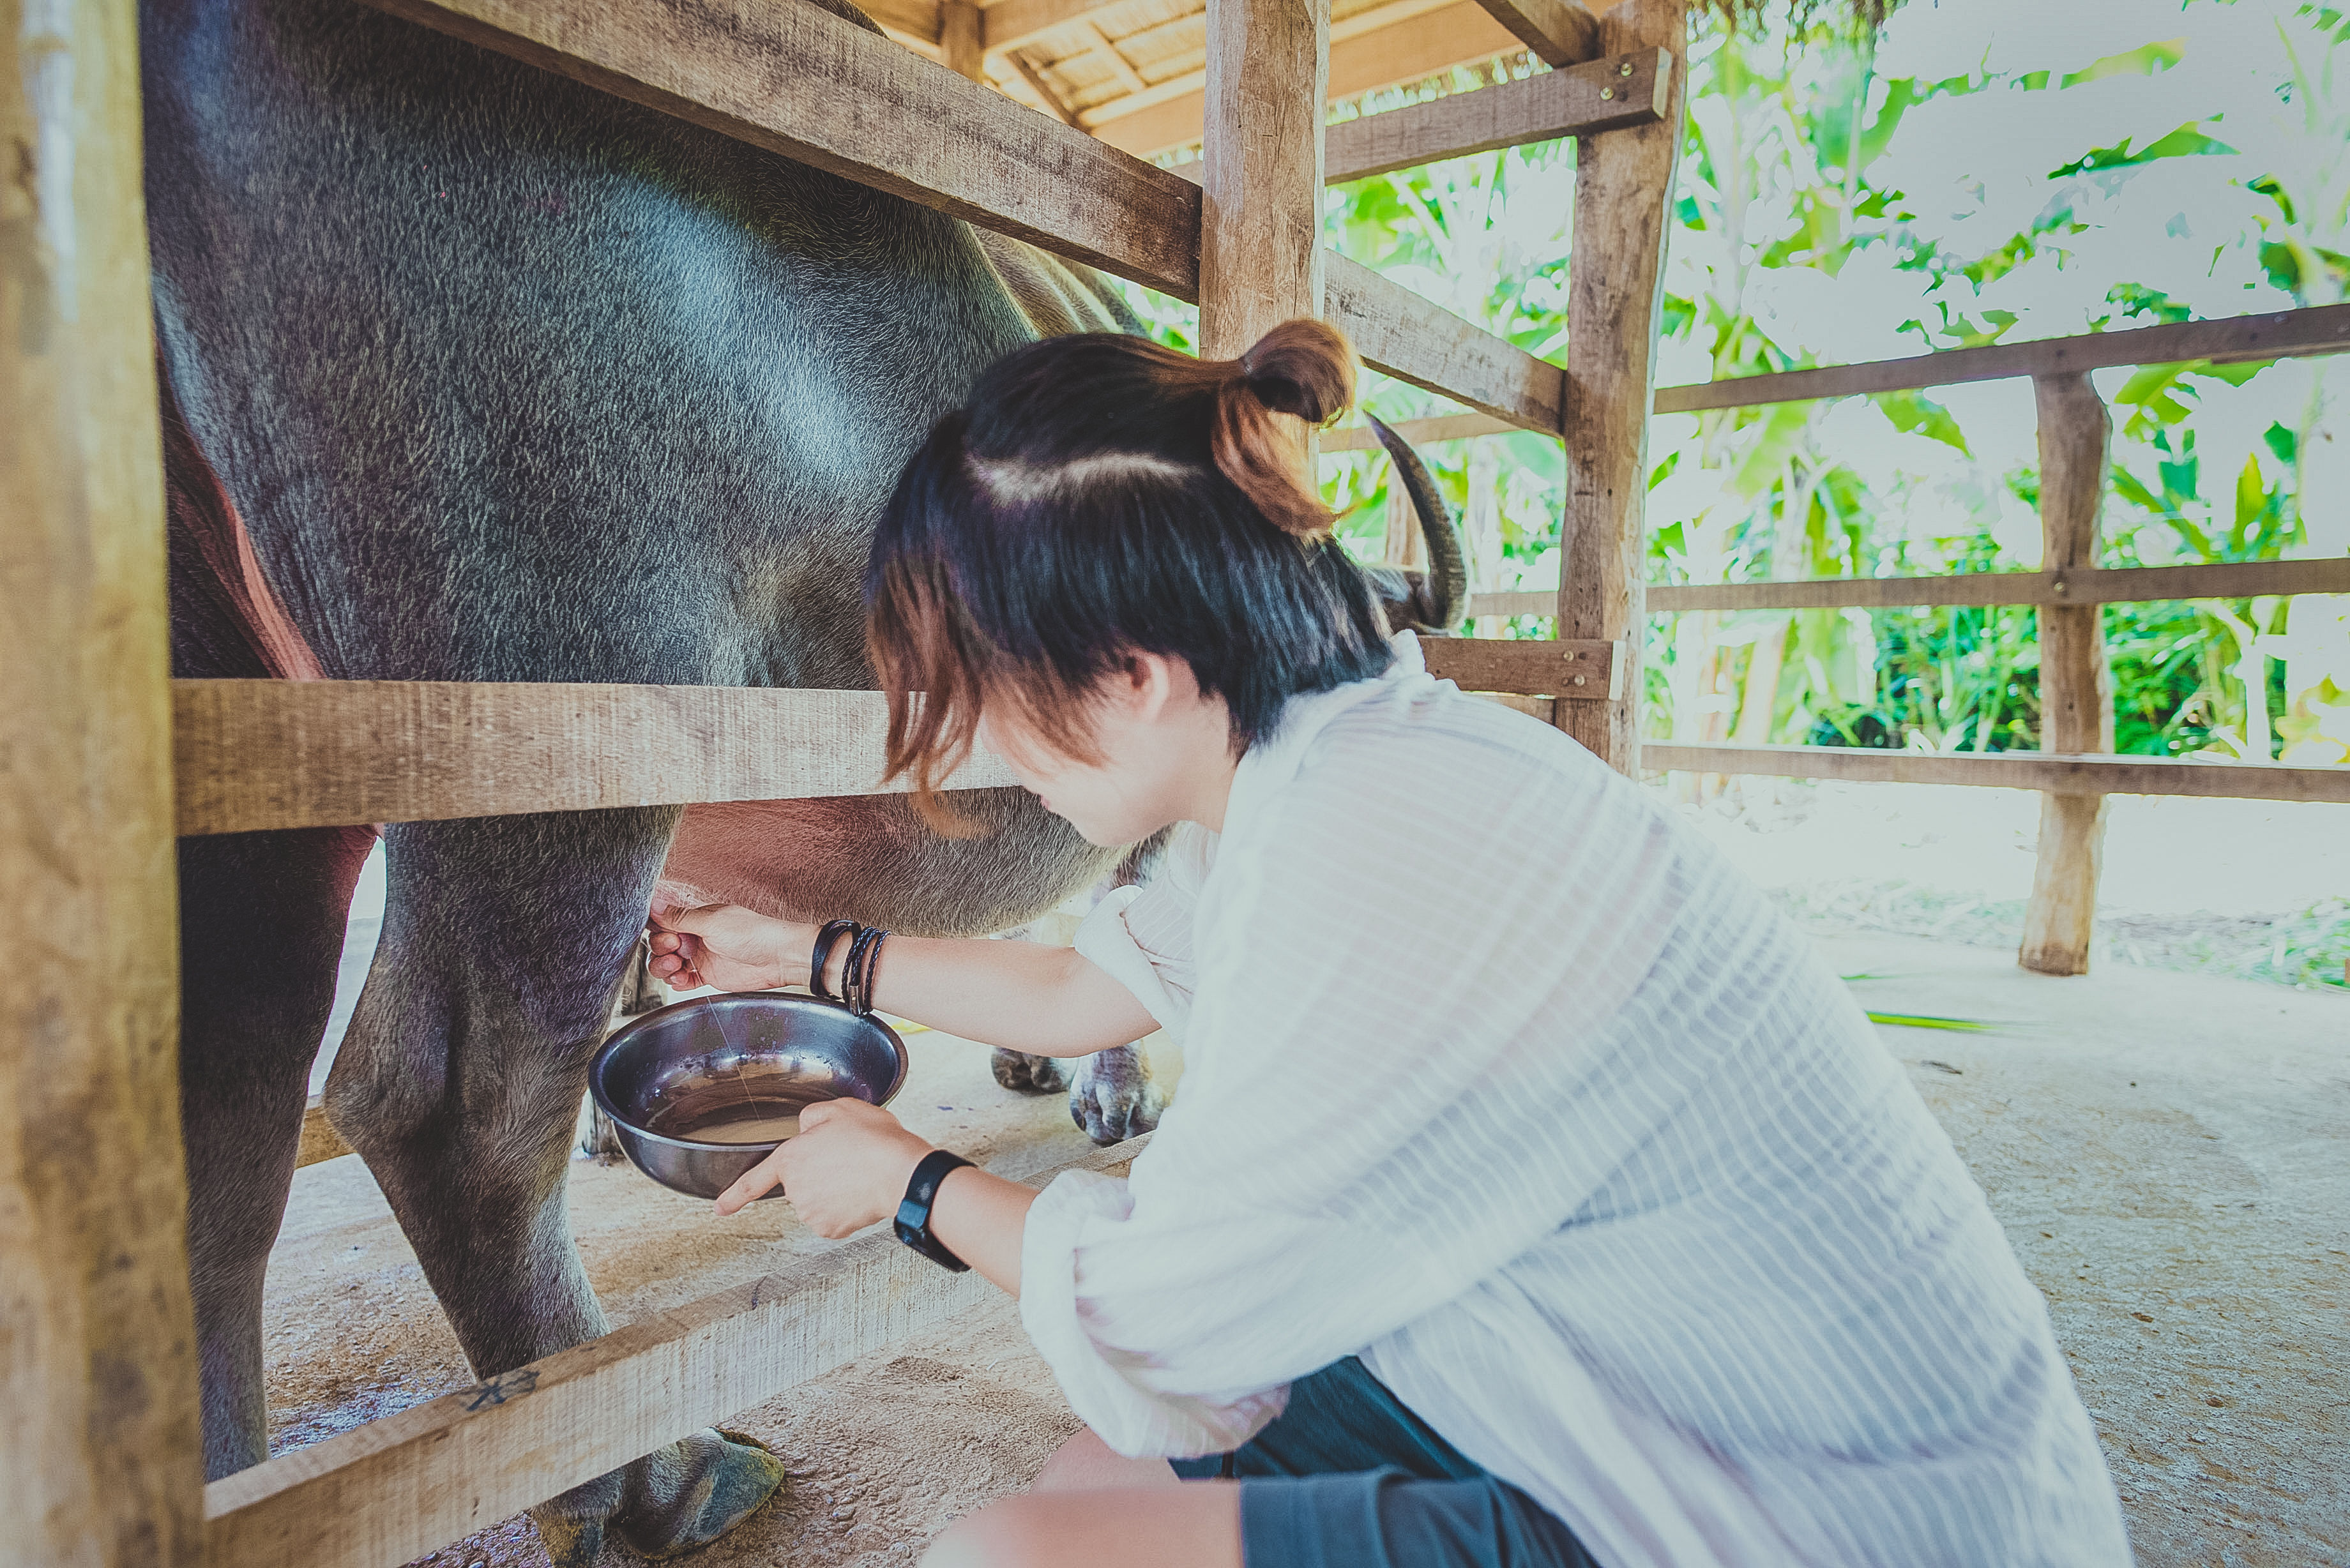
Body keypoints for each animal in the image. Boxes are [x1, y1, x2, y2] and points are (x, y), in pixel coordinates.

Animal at [147, 0, 1457, 1560]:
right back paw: (653, 1473)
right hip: (549, 705)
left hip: (233, 733)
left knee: (223, 1112)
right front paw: (1107, 1095)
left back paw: (223, 1475)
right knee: (454, 1105)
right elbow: (1120, 925)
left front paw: (1034, 1058)